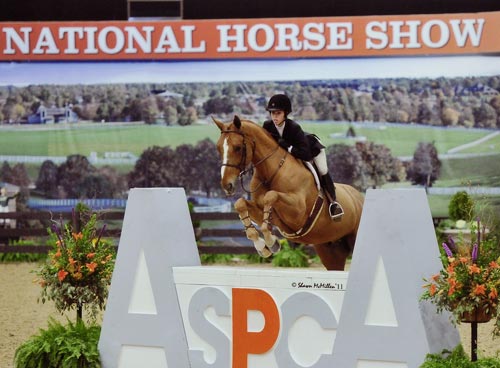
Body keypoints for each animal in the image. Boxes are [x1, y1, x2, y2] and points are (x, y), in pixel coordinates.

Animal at [214, 115, 364, 270]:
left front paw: (271, 242)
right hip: (330, 250)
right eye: (218, 148)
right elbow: (240, 203)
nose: (227, 185)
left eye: (237, 148)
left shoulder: (298, 212)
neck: (271, 173)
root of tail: (359, 197)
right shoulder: (263, 211)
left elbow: (271, 195)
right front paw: (263, 247)